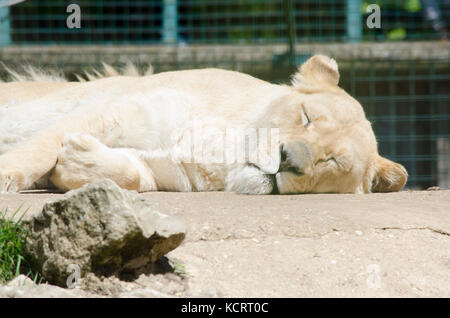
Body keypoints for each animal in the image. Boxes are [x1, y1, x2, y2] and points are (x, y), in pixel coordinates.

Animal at [0, 55, 408, 194]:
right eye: (306, 116)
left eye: (332, 162)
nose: (288, 159)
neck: (224, 153)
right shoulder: (114, 108)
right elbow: (40, 148)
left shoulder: (173, 174)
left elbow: (134, 176)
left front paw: (75, 164)